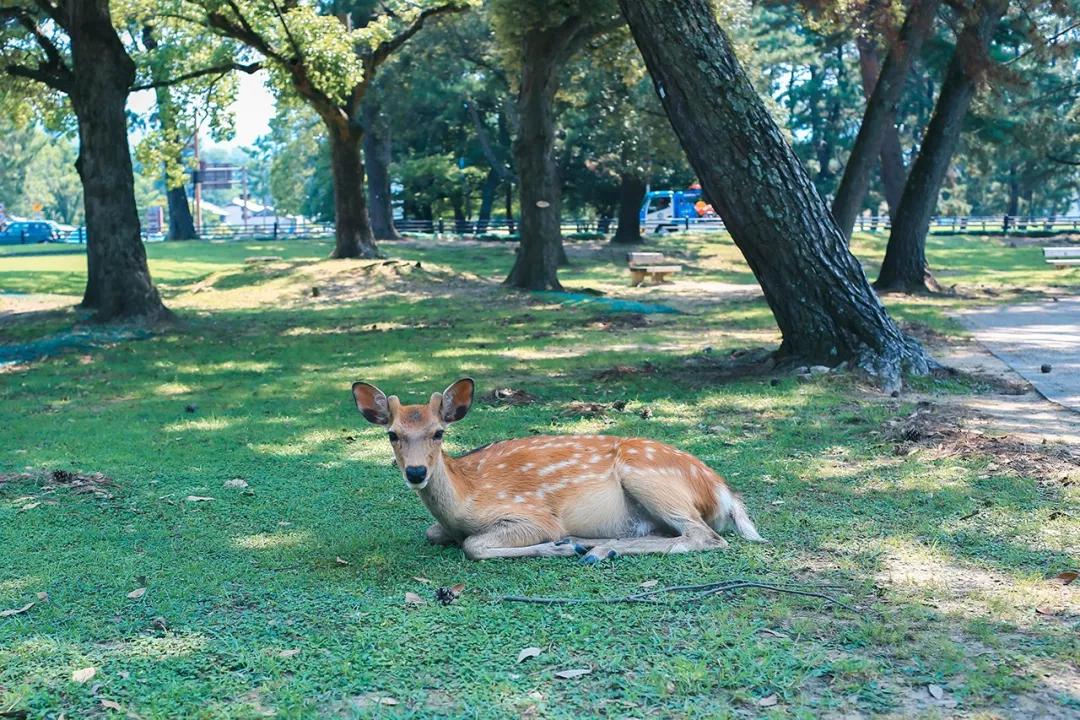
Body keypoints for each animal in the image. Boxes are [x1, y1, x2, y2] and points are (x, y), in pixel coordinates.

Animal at [349, 377, 764, 561]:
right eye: (392, 434)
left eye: (439, 432)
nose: (416, 472)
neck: (465, 500)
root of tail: (723, 492)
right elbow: (433, 533)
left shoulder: (532, 514)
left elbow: (474, 546)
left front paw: (556, 545)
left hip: (647, 476)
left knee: (705, 536)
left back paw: (593, 548)